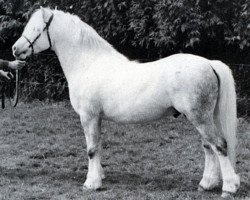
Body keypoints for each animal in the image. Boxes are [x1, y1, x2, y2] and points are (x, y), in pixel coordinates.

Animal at [12, 7, 239, 197]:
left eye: (37, 28)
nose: (15, 49)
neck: (88, 64)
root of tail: (209, 63)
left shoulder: (88, 116)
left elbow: (91, 149)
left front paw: (91, 183)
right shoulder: (96, 118)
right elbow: (98, 146)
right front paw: (99, 177)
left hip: (199, 117)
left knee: (219, 146)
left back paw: (228, 188)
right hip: (203, 117)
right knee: (208, 147)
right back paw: (206, 184)